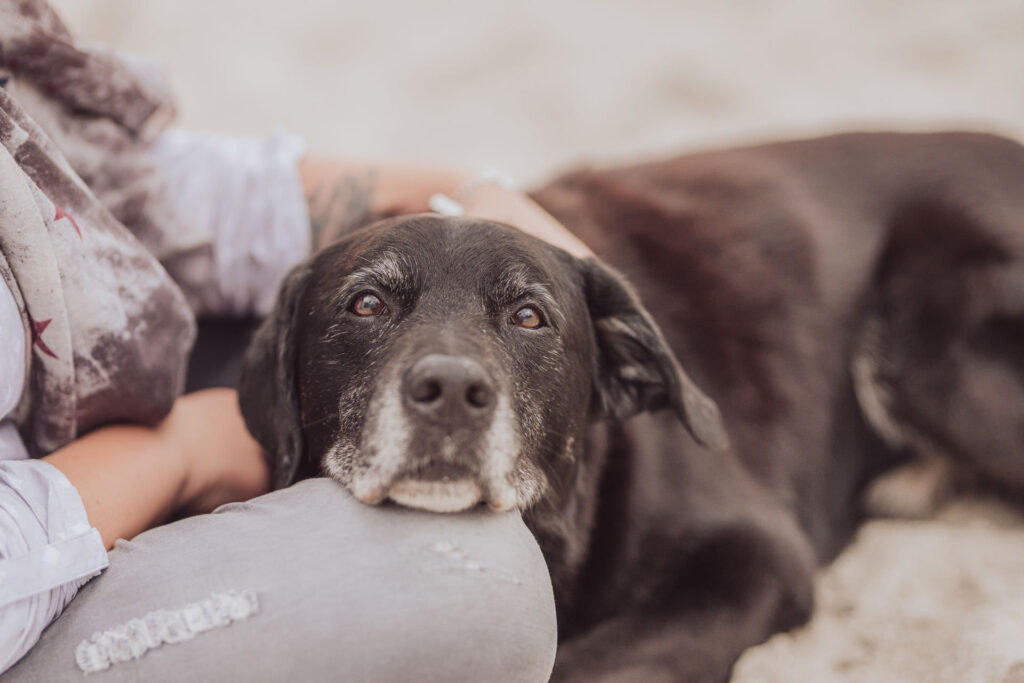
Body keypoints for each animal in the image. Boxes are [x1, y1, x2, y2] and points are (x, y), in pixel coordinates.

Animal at [237, 133, 1024, 683]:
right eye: (366, 304)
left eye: (529, 316)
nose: (453, 392)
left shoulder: (757, 556)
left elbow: (588, 665)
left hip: (935, 354)